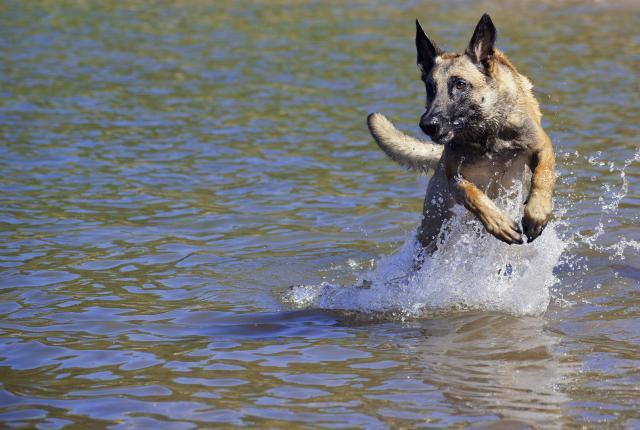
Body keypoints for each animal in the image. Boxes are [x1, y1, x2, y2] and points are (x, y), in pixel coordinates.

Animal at [370, 13, 556, 255]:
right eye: (430, 87)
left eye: (460, 84)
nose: (427, 124)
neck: (486, 133)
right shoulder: (454, 175)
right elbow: (471, 193)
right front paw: (498, 222)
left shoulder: (542, 146)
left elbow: (543, 175)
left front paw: (537, 213)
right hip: (432, 231)